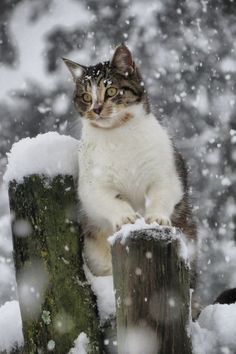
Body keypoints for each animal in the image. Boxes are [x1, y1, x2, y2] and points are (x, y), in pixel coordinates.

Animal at [63, 44, 197, 282]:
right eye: (86, 96)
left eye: (111, 91)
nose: (96, 108)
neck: (118, 135)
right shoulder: (91, 184)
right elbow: (109, 199)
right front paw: (127, 217)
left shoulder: (168, 173)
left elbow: (161, 193)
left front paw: (156, 218)